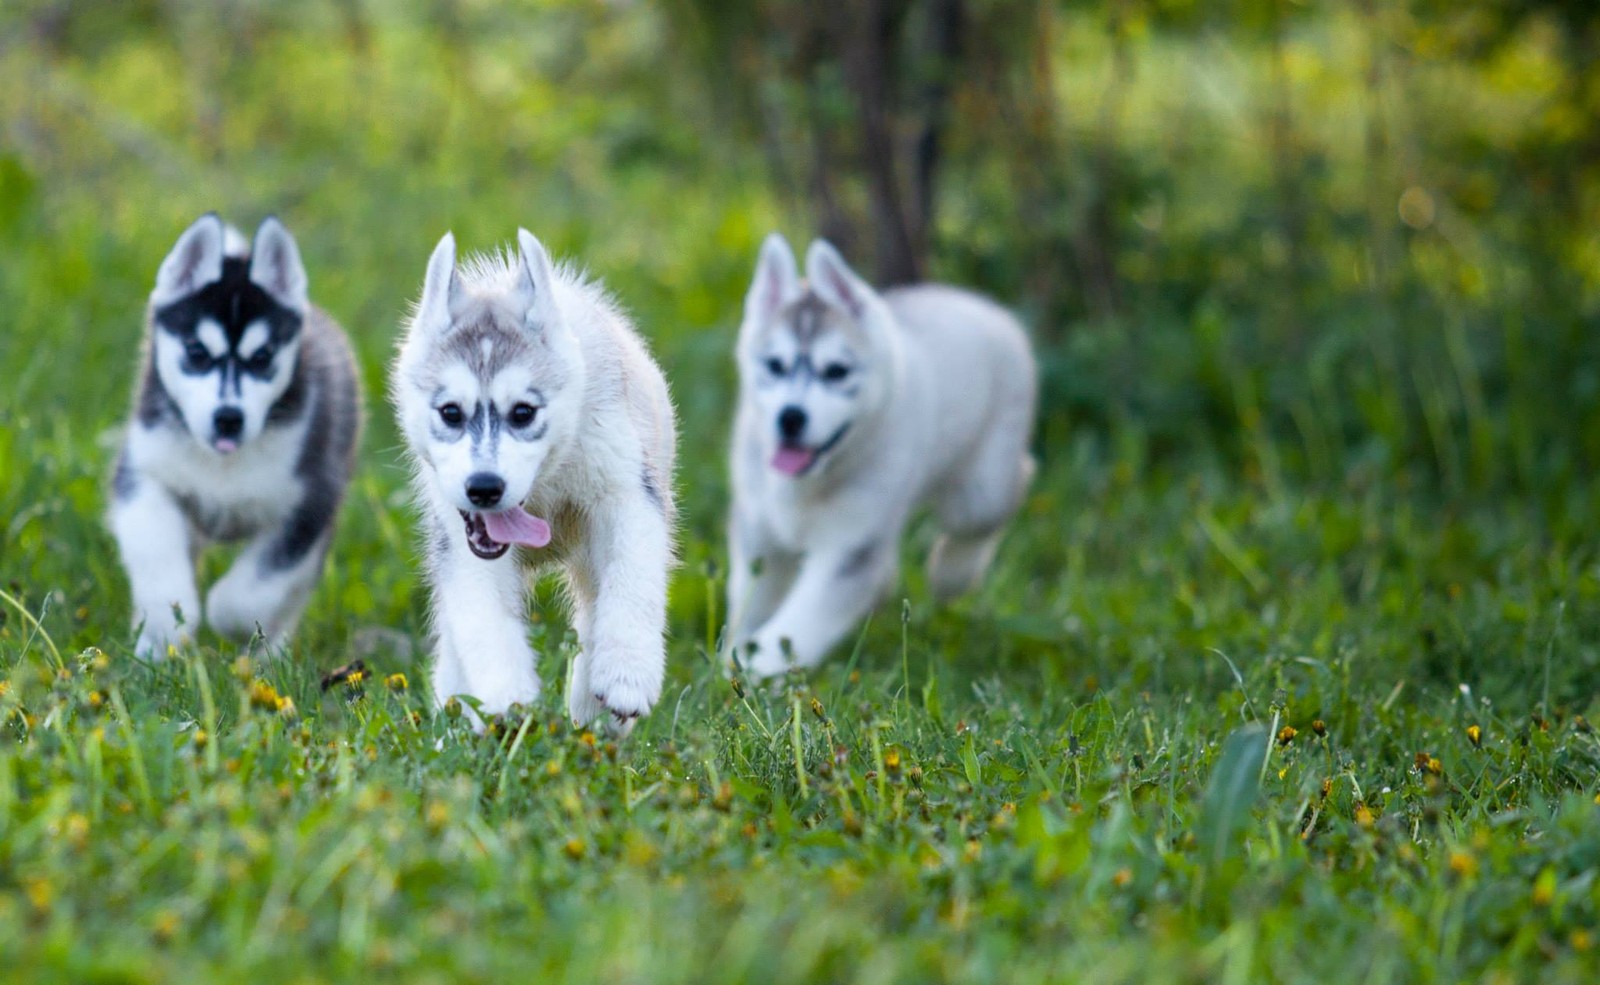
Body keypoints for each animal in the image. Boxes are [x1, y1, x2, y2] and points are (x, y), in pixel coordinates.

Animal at [109, 212, 363, 658]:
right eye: (196, 353)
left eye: (261, 358)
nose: (229, 418)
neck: (222, 464)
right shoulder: (144, 476)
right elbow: (156, 554)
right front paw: (165, 629)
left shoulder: (308, 506)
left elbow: (250, 594)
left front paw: (232, 621)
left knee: (293, 594)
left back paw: (272, 658)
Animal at [396, 228, 678, 722]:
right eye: (450, 412)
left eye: (523, 412)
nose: (484, 488)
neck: (546, 487)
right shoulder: (461, 538)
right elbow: (482, 620)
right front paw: (508, 697)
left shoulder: (628, 497)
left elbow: (633, 581)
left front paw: (627, 675)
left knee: (593, 606)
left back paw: (592, 712)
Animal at [726, 235, 1036, 677]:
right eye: (775, 365)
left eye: (836, 371)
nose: (790, 418)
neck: (810, 482)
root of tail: (971, 300)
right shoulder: (760, 532)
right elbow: (752, 602)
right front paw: (734, 656)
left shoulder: (851, 545)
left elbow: (799, 622)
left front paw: (759, 668)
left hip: (980, 488)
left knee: (1001, 496)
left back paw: (952, 572)